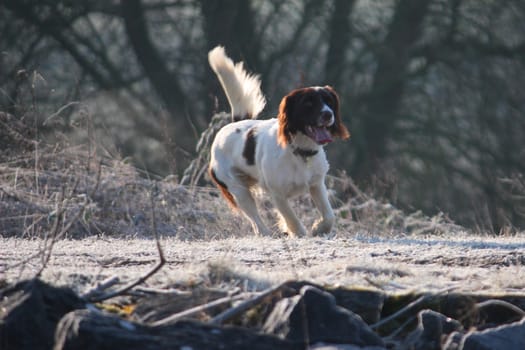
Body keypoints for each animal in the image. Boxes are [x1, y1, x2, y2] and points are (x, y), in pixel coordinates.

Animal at [206, 46, 348, 237]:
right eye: (308, 104)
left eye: (329, 101)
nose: (328, 114)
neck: (299, 151)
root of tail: (232, 124)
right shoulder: (277, 193)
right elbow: (292, 219)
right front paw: (300, 233)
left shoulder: (317, 184)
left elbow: (329, 215)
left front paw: (318, 229)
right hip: (238, 190)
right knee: (256, 221)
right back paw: (266, 234)